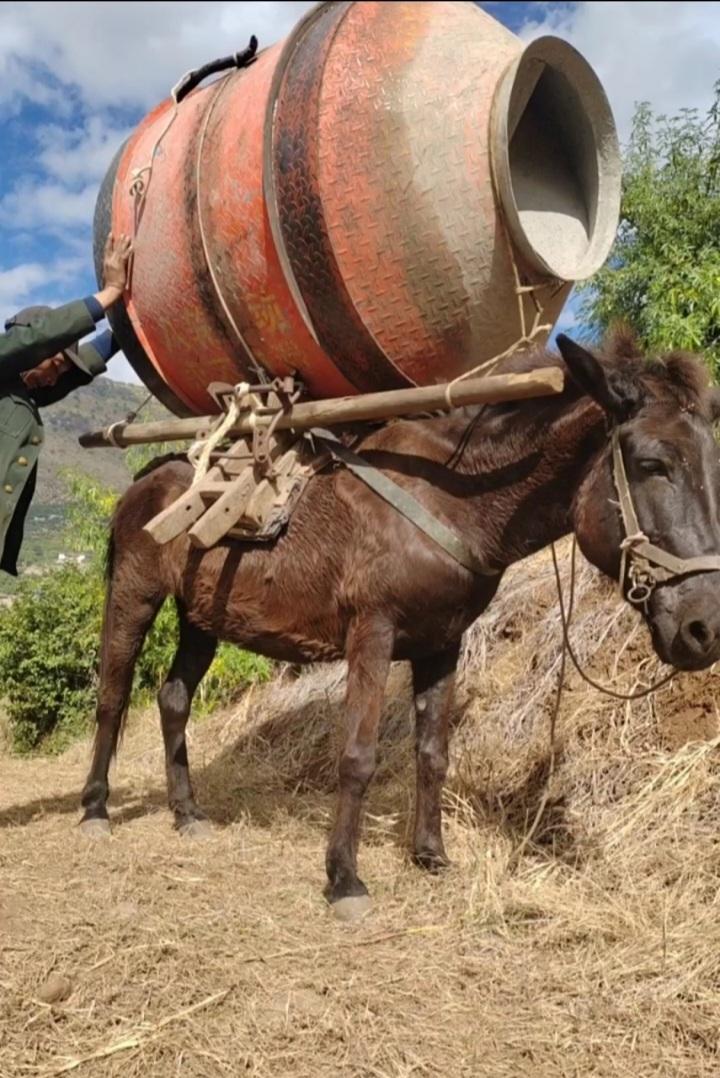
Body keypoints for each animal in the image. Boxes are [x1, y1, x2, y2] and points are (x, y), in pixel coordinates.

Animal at [79, 331, 720, 919]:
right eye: (653, 464)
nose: (705, 628)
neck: (451, 500)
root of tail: (149, 476)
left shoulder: (443, 644)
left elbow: (432, 752)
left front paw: (430, 854)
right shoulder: (373, 634)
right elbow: (357, 755)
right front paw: (344, 878)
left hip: (203, 615)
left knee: (173, 698)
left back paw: (187, 813)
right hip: (134, 595)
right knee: (113, 695)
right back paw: (95, 808)